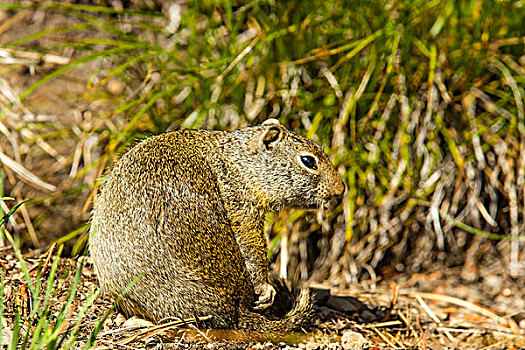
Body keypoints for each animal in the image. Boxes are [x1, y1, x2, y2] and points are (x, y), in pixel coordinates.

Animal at [89, 119, 344, 332]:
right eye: (308, 161)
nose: (341, 189)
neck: (237, 161)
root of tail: (235, 307)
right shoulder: (242, 208)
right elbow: (253, 250)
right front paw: (266, 289)